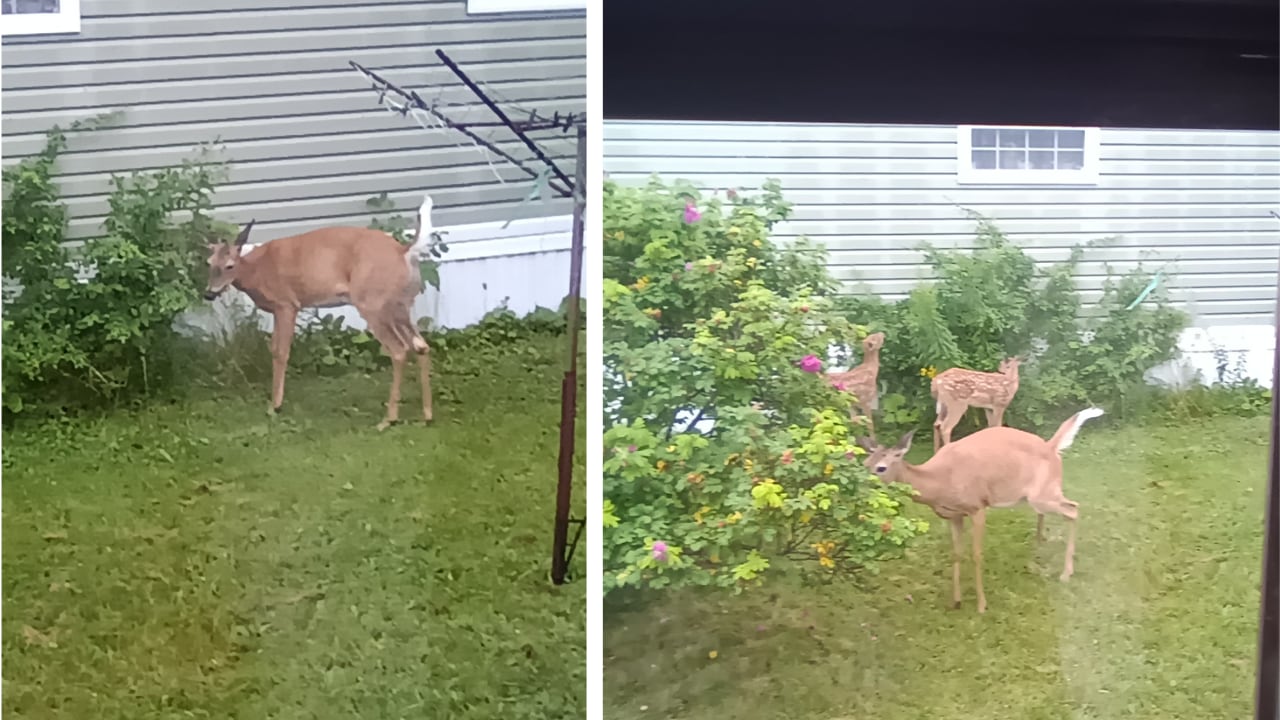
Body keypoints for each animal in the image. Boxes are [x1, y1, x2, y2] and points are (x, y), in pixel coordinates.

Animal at [203, 195, 442, 430]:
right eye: (208, 263)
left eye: (230, 265)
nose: (209, 293)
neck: (257, 271)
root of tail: (404, 252)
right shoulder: (279, 309)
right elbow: (274, 349)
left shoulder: (287, 304)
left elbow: (281, 352)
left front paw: (275, 405)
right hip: (400, 305)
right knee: (420, 345)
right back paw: (427, 415)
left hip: (372, 302)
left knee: (399, 349)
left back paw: (388, 419)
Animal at [857, 406, 1103, 613]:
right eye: (865, 463)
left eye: (881, 468)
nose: (860, 484)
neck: (939, 481)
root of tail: (1051, 447)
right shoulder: (954, 515)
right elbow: (956, 553)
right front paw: (956, 601)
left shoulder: (977, 507)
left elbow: (976, 555)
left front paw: (981, 605)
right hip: (1035, 496)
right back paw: (1039, 545)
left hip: (1042, 495)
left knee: (1073, 509)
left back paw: (1066, 573)